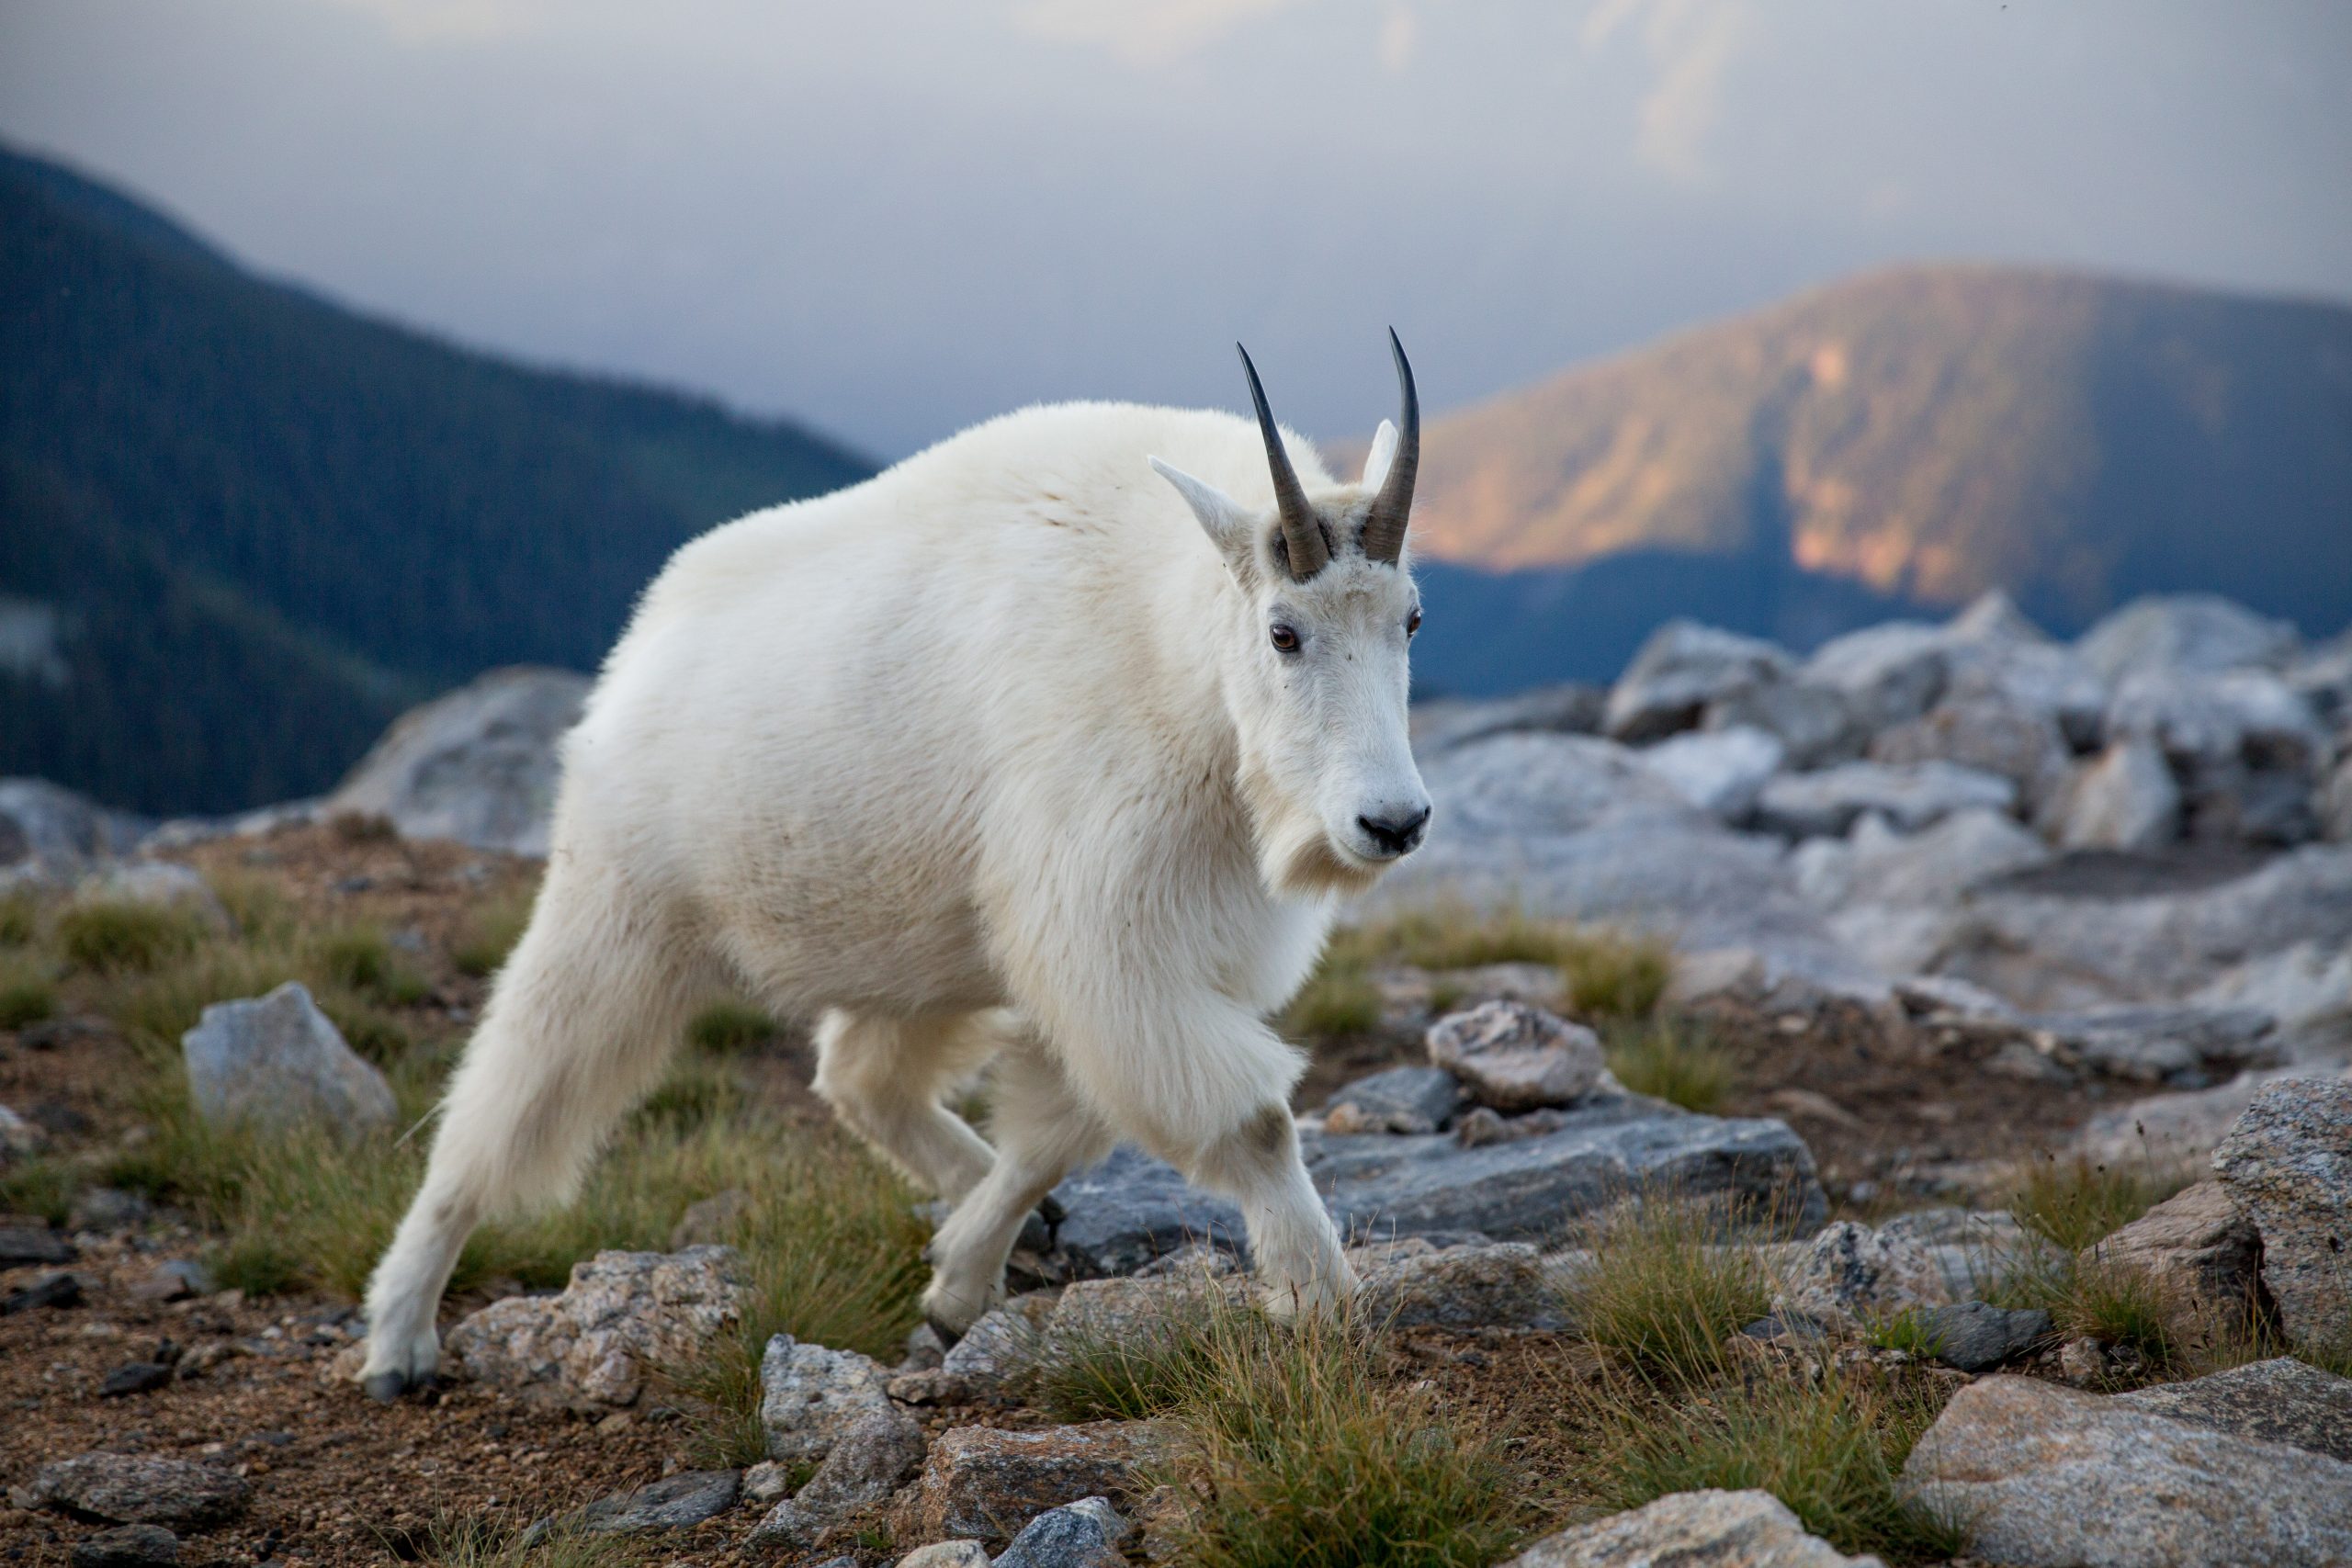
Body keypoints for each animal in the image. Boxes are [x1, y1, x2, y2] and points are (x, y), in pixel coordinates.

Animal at [357, 338, 1430, 1401]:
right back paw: (399, 1337)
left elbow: (1057, 1136)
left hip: (910, 941)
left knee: (858, 1077)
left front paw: (958, 1284)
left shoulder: (1123, 949)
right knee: (500, 1102)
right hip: (615, 908)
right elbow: (1251, 1122)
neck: (1173, 650)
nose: (1394, 822)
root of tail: (632, 661)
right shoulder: (1103, 935)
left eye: (1411, 619)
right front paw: (1321, 1294)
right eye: (1283, 631)